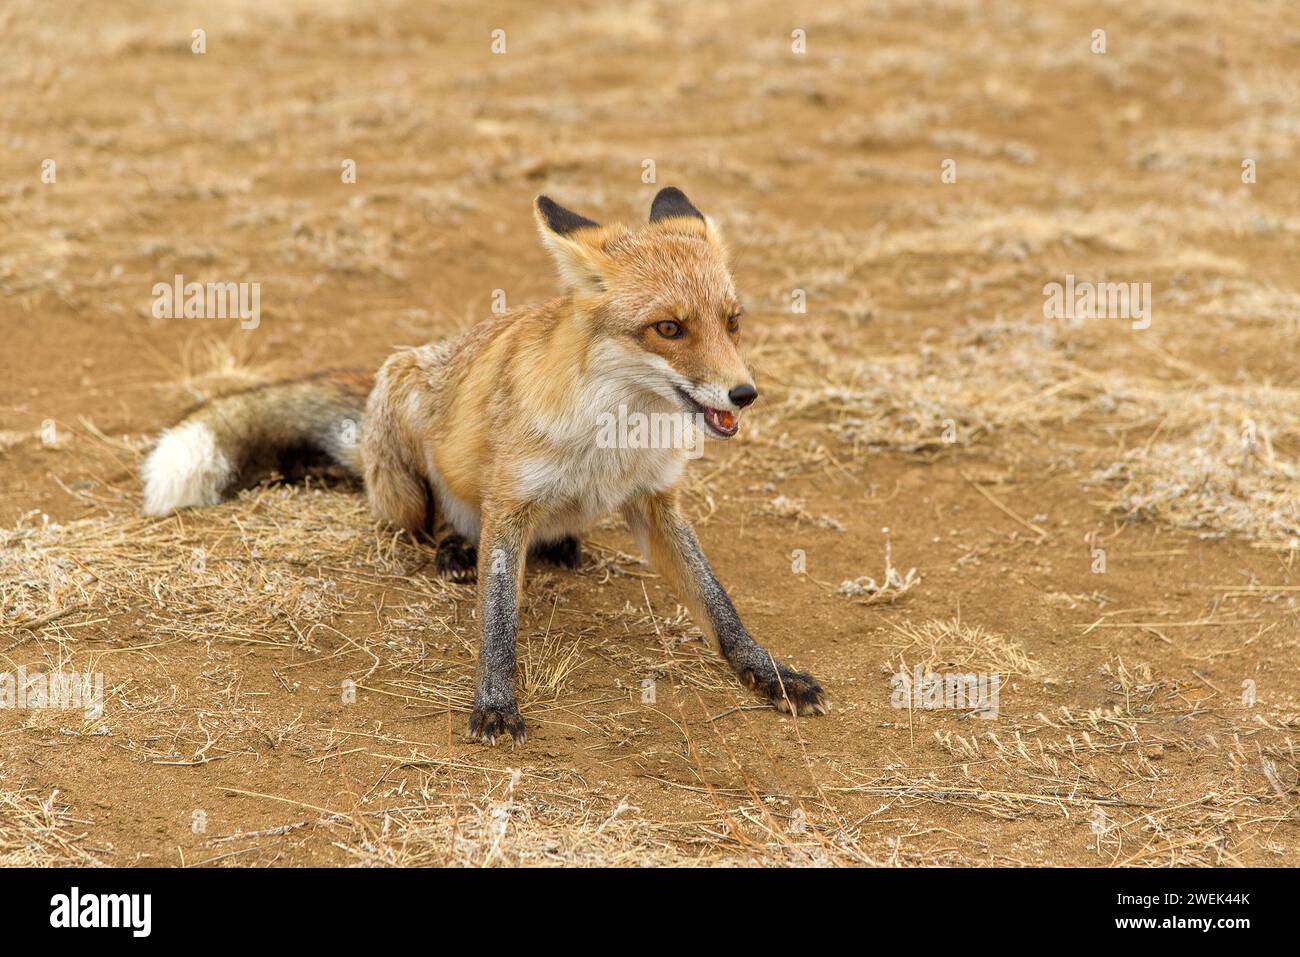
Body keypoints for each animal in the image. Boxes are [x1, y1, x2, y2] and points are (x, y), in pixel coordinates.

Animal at [140, 186, 829, 745]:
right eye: (668, 328)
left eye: (732, 323)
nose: (744, 394)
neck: (614, 437)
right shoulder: (509, 503)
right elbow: (499, 619)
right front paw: (495, 702)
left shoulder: (655, 501)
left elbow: (719, 604)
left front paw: (767, 673)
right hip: (405, 437)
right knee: (420, 521)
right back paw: (450, 547)